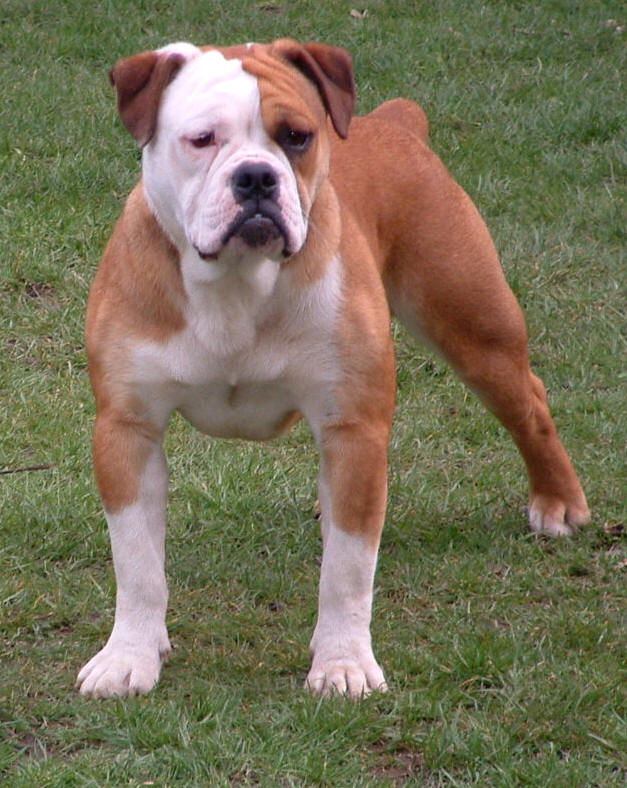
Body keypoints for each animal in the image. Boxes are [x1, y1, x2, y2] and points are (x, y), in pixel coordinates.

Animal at [76, 40, 592, 700]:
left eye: (297, 136)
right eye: (202, 139)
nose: (256, 176)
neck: (237, 280)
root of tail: (395, 123)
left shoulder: (354, 430)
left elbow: (348, 568)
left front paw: (343, 664)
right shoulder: (128, 430)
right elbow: (137, 562)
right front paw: (129, 656)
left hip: (475, 329)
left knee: (529, 403)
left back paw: (558, 501)